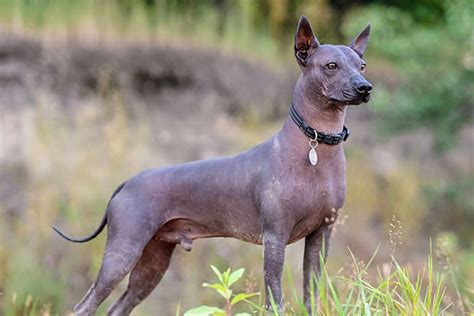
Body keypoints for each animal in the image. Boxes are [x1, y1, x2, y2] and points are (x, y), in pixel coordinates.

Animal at [55, 15, 372, 316]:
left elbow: (311, 295)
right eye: (331, 65)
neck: (316, 143)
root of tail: (128, 181)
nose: (364, 87)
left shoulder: (321, 235)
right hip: (124, 250)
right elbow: (275, 299)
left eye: (362, 66)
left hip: (154, 259)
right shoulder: (275, 238)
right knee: (85, 306)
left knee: (119, 306)